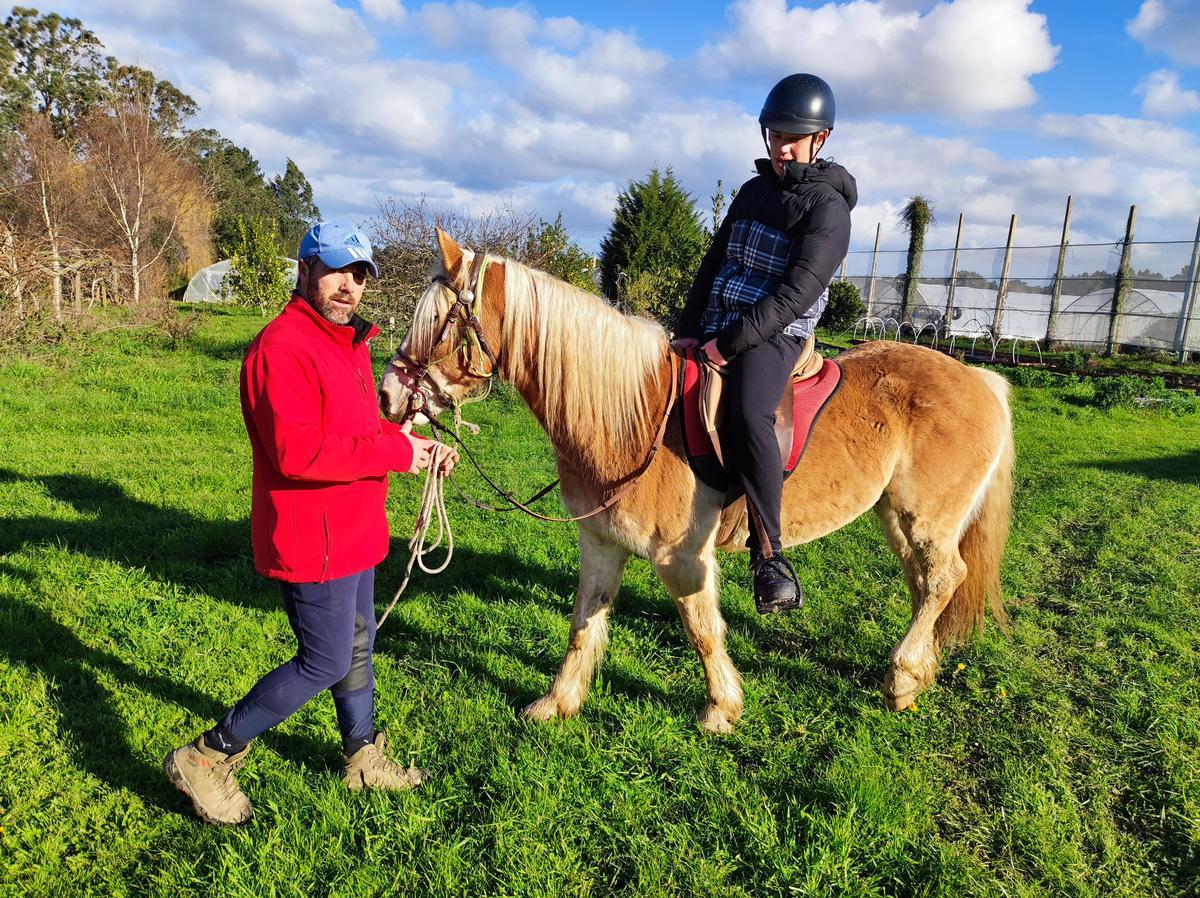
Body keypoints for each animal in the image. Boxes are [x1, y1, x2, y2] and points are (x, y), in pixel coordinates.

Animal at [376, 235, 1012, 734]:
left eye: (440, 322)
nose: (387, 395)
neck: (631, 419)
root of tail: (980, 377)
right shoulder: (600, 543)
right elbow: (584, 623)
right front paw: (558, 702)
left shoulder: (681, 557)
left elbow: (703, 631)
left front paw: (721, 708)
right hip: (896, 515)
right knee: (927, 581)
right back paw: (917, 670)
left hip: (924, 517)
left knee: (943, 578)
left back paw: (903, 678)